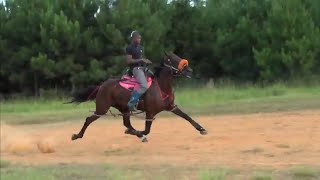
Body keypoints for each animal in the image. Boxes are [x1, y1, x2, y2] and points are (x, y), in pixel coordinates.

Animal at [69, 51, 208, 142]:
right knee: (89, 119)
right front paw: (139, 133)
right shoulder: (150, 112)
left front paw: (202, 129)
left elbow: (186, 117)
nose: (189, 70)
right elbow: (147, 129)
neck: (160, 87)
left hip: (124, 109)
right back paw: (76, 136)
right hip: (102, 108)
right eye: (171, 59)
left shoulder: (171, 107)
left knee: (126, 123)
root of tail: (102, 85)